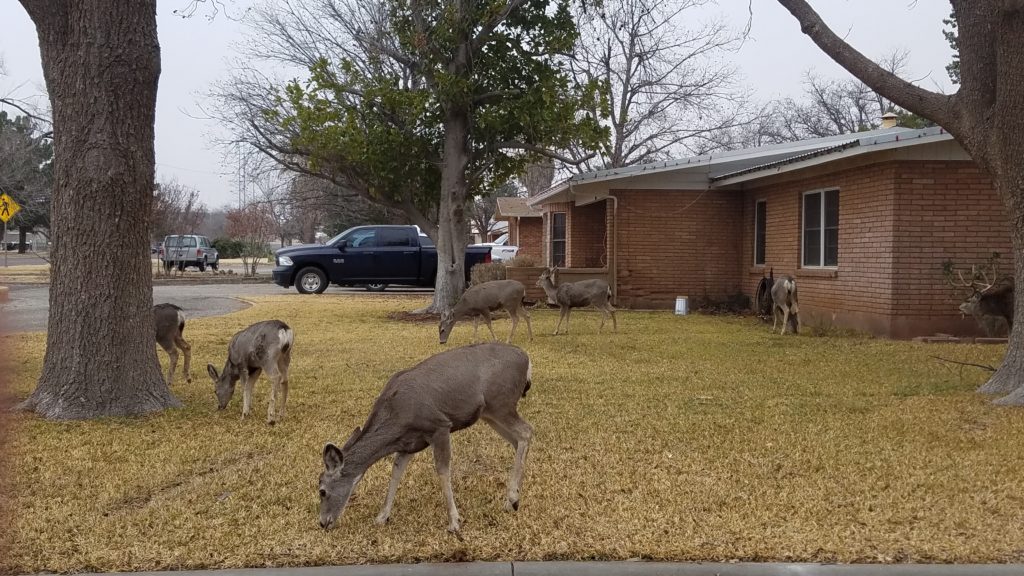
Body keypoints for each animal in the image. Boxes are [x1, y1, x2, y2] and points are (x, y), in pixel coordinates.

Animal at [318, 342, 533, 535]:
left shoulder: (439, 426)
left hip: (502, 402)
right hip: (489, 413)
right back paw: (512, 499)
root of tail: (527, 360)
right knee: (517, 440)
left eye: (322, 491)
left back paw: (512, 498)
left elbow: (442, 470)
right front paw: (382, 516)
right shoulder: (409, 444)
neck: (398, 416)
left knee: (526, 431)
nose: (323, 522)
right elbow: (396, 473)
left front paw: (454, 522)